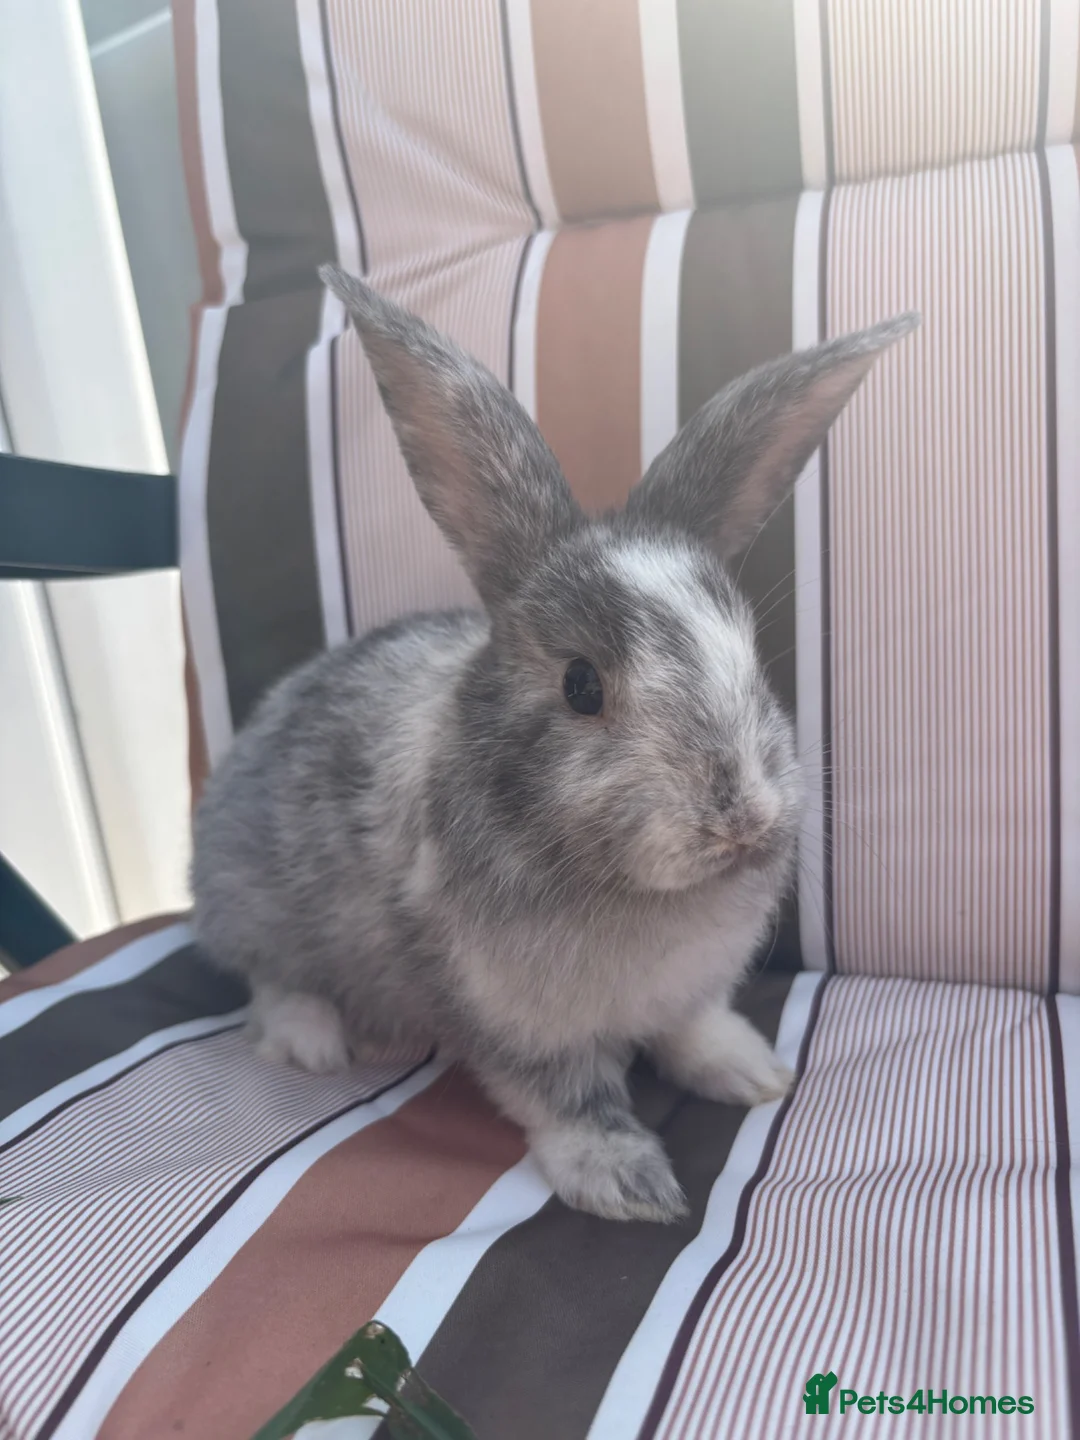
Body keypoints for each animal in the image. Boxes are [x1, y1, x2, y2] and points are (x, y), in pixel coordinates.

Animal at [191, 262, 917, 1223]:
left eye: (751, 654)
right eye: (580, 685)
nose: (741, 820)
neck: (637, 894)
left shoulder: (689, 987)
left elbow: (695, 1030)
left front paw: (753, 1071)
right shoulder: (509, 1015)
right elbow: (567, 1099)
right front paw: (628, 1184)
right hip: (254, 900)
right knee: (267, 978)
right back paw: (313, 1040)